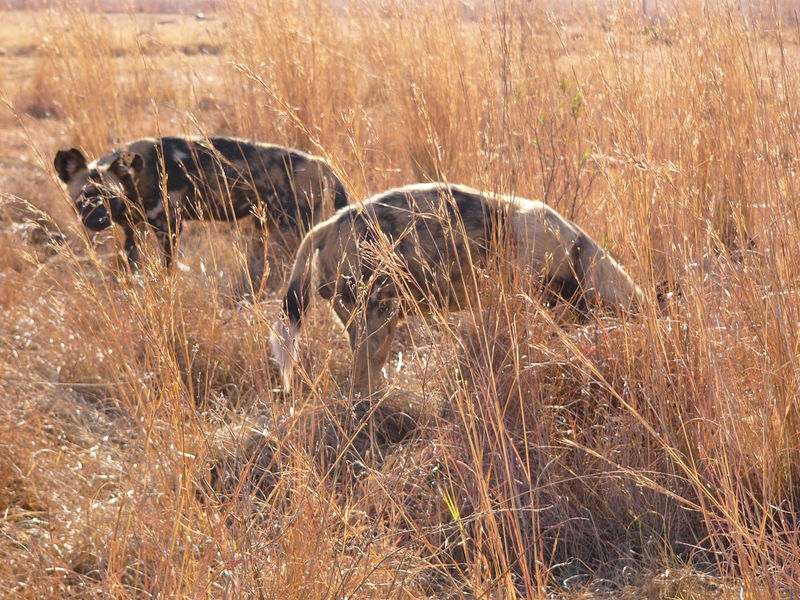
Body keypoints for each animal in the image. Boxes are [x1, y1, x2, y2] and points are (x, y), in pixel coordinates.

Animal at [53, 136, 346, 282]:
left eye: (111, 197)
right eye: (85, 195)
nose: (98, 221)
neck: (137, 180)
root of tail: (322, 162)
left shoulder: (169, 226)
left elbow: (168, 269)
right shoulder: (132, 231)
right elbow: (131, 263)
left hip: (291, 231)